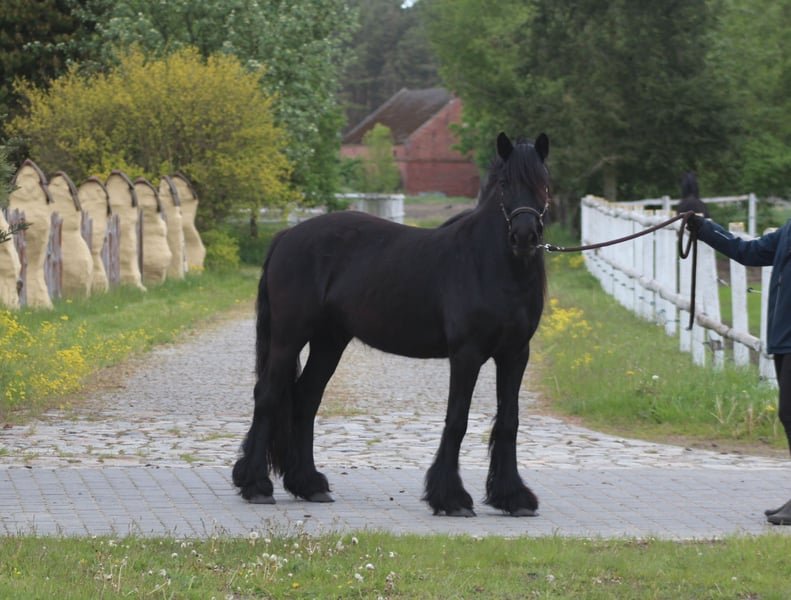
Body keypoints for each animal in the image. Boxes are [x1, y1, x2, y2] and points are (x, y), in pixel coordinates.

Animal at [232, 132, 550, 517]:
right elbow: (457, 419)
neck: (489, 264)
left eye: (544, 183)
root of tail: (285, 237)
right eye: (505, 184)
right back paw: (256, 485)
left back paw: (309, 484)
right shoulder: (467, 354)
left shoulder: (515, 354)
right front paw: (451, 498)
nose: (524, 236)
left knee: (306, 398)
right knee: (268, 395)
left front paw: (513, 497)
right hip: (288, 337)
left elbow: (509, 421)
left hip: (329, 341)